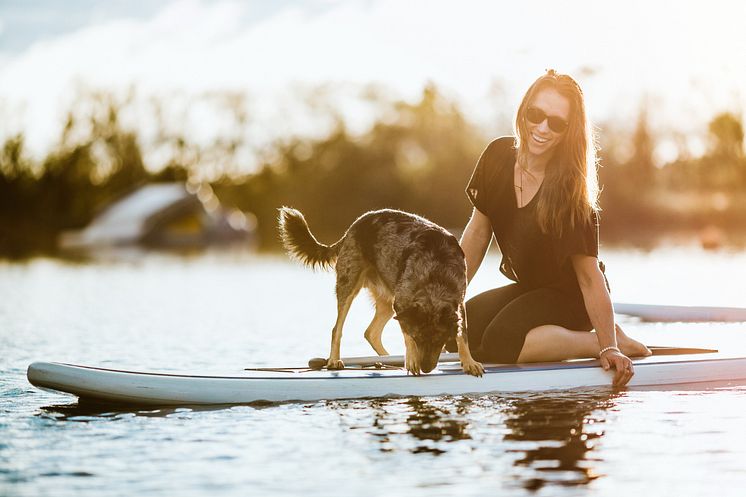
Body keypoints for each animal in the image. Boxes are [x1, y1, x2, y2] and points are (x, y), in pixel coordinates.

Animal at [274, 206, 482, 376]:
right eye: (418, 338)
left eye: (440, 341)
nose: (426, 369)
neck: (435, 274)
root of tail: (352, 228)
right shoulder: (403, 305)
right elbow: (406, 334)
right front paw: (412, 359)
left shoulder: (459, 302)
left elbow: (463, 335)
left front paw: (469, 362)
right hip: (349, 286)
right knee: (337, 329)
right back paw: (335, 360)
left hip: (388, 302)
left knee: (370, 333)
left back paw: (386, 361)